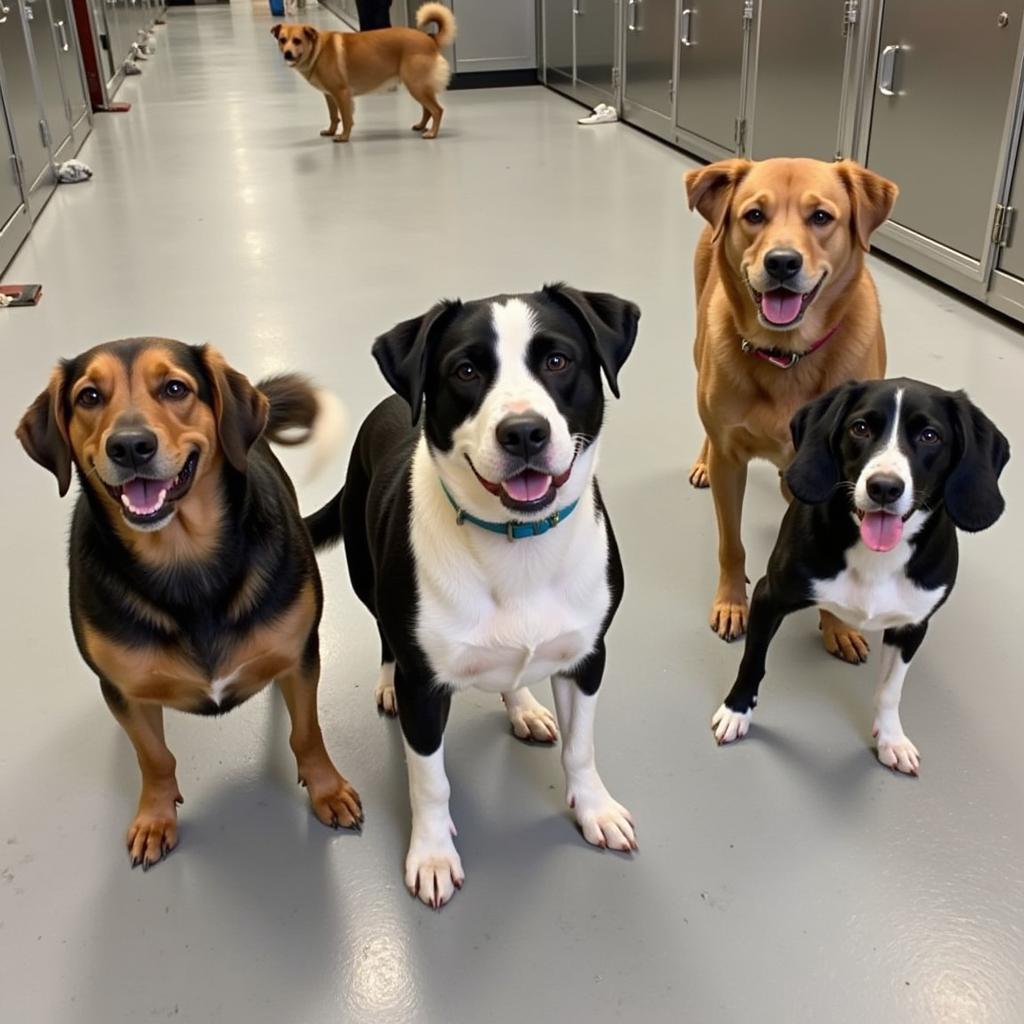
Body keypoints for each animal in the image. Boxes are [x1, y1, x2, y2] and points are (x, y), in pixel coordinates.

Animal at [16, 339, 362, 868]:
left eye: (175, 388)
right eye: (89, 396)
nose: (130, 446)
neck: (185, 562)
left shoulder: (302, 655)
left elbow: (306, 732)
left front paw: (327, 790)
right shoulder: (123, 690)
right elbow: (154, 756)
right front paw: (155, 817)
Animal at [276, 2, 460, 142]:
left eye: (297, 41)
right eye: (282, 40)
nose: (287, 53)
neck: (318, 49)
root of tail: (430, 39)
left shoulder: (341, 94)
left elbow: (346, 118)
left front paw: (343, 136)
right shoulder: (330, 96)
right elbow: (334, 117)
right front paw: (331, 131)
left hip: (417, 86)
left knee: (437, 110)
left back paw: (432, 133)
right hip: (418, 87)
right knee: (428, 110)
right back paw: (421, 126)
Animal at [307, 284, 634, 909]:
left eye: (558, 361)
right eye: (465, 371)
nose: (524, 432)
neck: (518, 543)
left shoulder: (590, 656)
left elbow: (581, 747)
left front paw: (595, 809)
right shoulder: (425, 688)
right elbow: (430, 781)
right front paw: (433, 855)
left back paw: (524, 705)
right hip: (366, 576)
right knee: (384, 633)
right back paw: (386, 680)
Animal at [688, 155, 897, 659]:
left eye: (820, 217)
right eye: (754, 215)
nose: (782, 262)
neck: (789, 357)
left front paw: (836, 624)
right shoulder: (730, 462)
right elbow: (731, 544)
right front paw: (732, 601)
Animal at [712, 380, 1007, 770]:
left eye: (930, 436)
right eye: (860, 428)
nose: (884, 486)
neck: (877, 557)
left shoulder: (912, 626)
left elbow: (890, 690)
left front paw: (891, 739)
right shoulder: (768, 597)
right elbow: (752, 662)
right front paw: (736, 711)